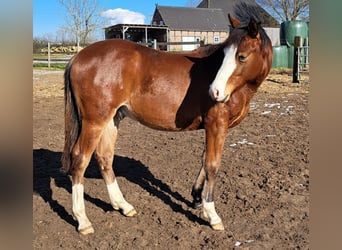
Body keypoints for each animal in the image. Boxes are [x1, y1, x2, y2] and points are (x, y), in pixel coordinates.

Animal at [59, 13, 272, 233]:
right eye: (224, 56)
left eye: (242, 56)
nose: (215, 91)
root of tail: (78, 57)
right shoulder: (216, 125)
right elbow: (212, 165)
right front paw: (212, 214)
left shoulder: (212, 128)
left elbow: (204, 160)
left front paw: (197, 198)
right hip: (94, 122)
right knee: (80, 159)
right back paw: (83, 220)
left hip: (111, 120)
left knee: (104, 158)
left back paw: (123, 206)